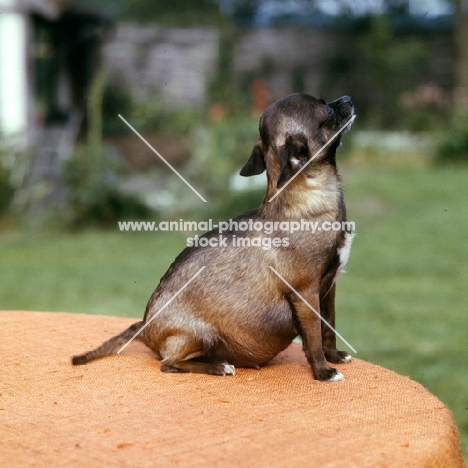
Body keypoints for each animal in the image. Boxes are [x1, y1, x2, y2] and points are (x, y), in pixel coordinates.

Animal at [71, 93, 352, 382]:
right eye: (328, 111)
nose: (347, 99)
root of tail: (145, 328)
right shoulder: (306, 293)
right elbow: (314, 336)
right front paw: (323, 371)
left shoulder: (328, 289)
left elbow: (328, 327)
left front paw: (333, 356)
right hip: (199, 335)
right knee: (169, 364)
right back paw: (218, 366)